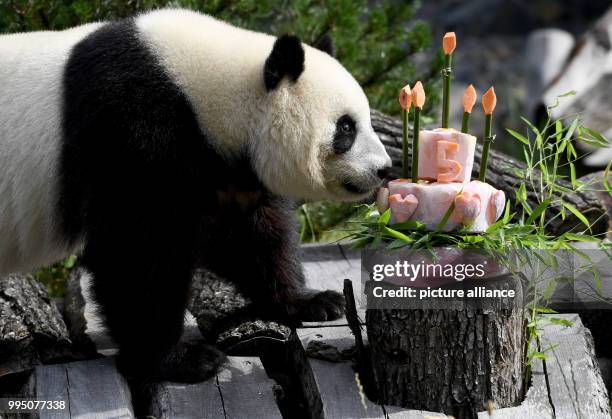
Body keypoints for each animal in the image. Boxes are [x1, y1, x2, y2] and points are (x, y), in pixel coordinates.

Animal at [0, 9, 392, 384]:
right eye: (346, 127)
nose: (384, 169)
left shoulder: (221, 165)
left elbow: (250, 234)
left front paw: (311, 302)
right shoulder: (132, 127)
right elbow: (137, 246)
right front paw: (180, 359)